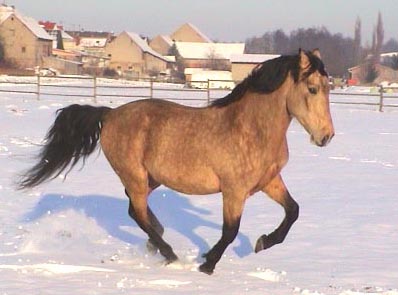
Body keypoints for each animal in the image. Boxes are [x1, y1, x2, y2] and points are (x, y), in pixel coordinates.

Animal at [19, 49, 336, 276]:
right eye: (312, 89)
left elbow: (293, 211)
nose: (326, 136)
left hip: (151, 178)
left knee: (136, 211)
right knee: (137, 212)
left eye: (328, 87)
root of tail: (109, 115)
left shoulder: (269, 182)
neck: (251, 129)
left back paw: (157, 243)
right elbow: (230, 231)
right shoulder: (234, 191)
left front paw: (262, 242)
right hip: (135, 175)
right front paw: (207, 264)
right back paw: (169, 253)